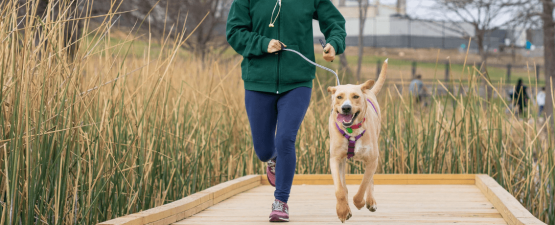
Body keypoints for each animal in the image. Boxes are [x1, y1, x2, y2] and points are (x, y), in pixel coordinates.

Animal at [328, 59, 388, 222]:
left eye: (355, 96)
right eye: (339, 97)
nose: (346, 108)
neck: (351, 131)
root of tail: (368, 90)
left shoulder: (372, 160)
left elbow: (363, 185)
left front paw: (360, 202)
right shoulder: (335, 159)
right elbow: (339, 190)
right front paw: (342, 211)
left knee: (369, 180)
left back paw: (370, 201)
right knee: (344, 185)